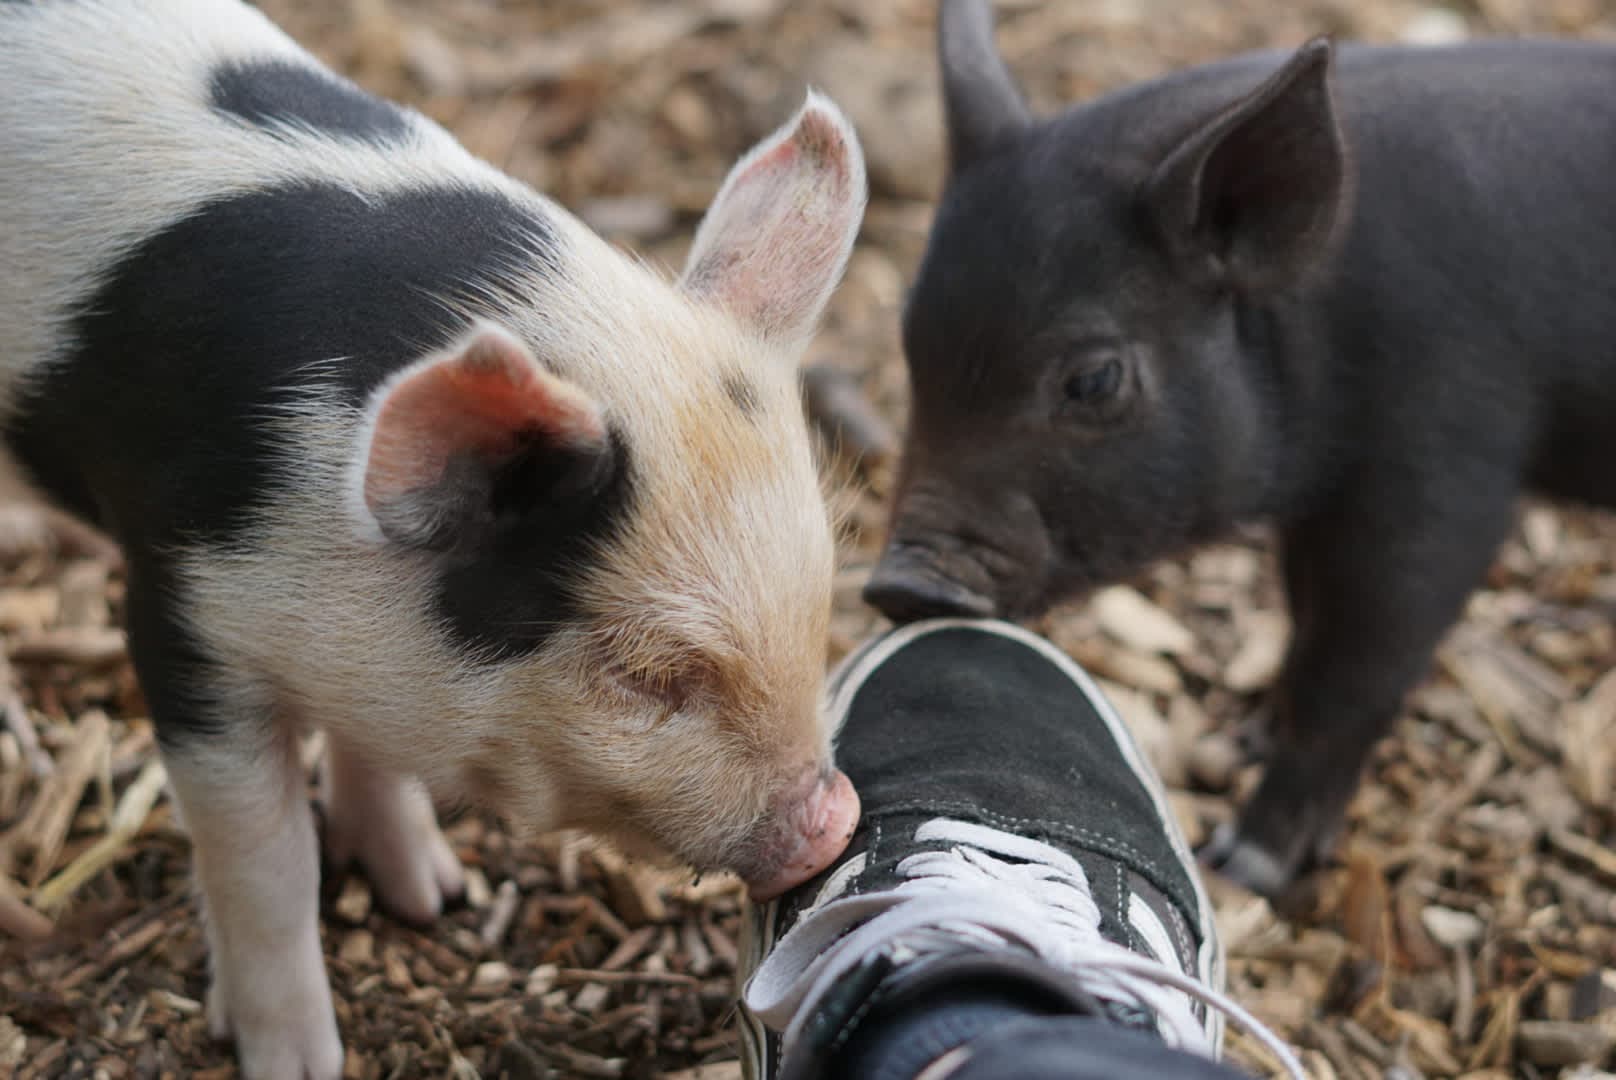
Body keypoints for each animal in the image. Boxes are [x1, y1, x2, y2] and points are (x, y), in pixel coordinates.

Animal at [1, 1, 865, 1076]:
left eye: (823, 600)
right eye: (645, 671)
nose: (836, 822)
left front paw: (431, 896)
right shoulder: (179, 605)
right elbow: (267, 862)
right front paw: (301, 1061)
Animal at [865, 0, 1616, 898]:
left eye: (1092, 380)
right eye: (909, 345)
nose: (901, 582)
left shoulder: (1443, 472)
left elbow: (1352, 673)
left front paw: (1247, 865)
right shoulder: (1321, 511)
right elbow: (1301, 611)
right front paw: (1250, 733)